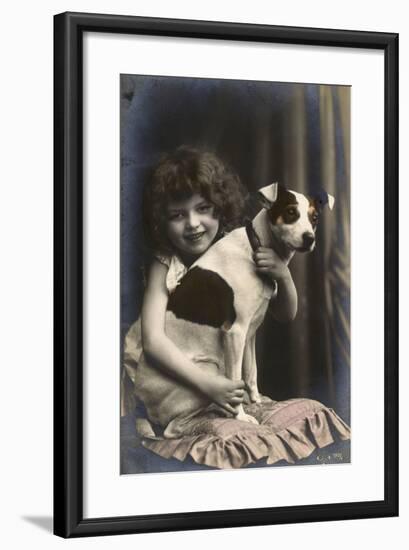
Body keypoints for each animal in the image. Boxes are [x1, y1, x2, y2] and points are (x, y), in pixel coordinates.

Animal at [135, 184, 334, 436]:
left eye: (314, 218)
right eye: (291, 212)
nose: (310, 239)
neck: (255, 245)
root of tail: (141, 403)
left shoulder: (249, 334)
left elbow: (250, 373)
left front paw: (257, 401)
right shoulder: (235, 332)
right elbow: (235, 381)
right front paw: (241, 416)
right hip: (208, 370)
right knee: (171, 429)